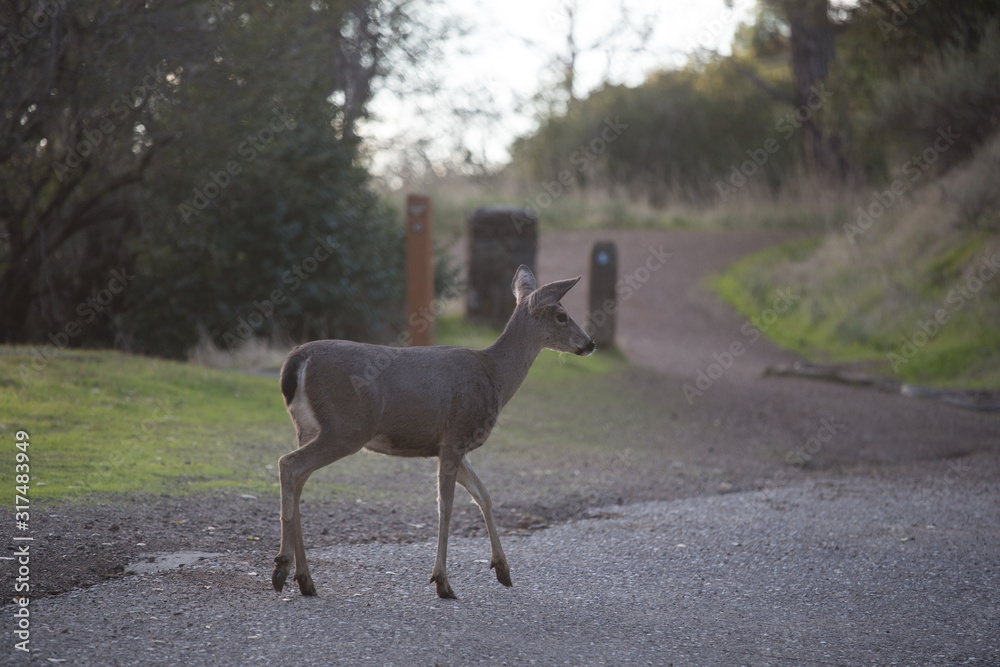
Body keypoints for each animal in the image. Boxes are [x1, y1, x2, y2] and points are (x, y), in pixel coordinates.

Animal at [271, 264, 595, 599]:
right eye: (561, 315)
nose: (590, 343)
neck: (494, 376)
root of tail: (297, 359)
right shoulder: (455, 436)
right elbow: (446, 507)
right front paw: (443, 581)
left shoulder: (447, 445)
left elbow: (484, 495)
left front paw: (502, 570)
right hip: (347, 427)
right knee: (288, 464)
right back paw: (282, 568)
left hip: (308, 427)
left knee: (298, 478)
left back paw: (304, 579)